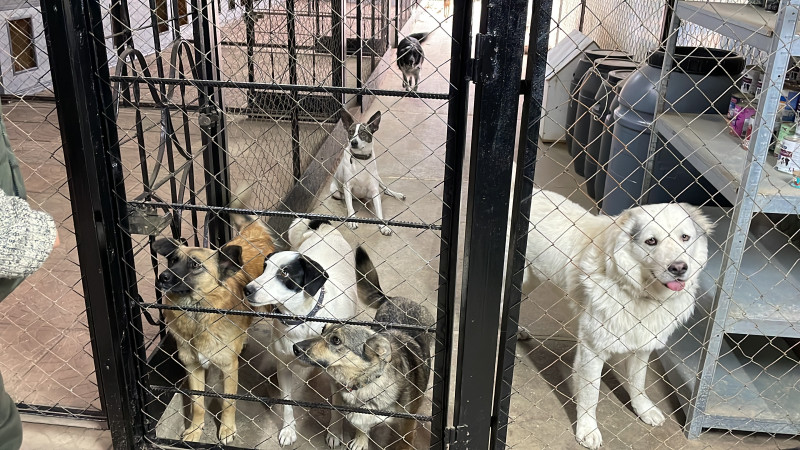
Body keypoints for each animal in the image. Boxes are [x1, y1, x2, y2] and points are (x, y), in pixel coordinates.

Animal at [153, 189, 276, 444]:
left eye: (195, 265)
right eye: (172, 260)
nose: (162, 277)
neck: (197, 315)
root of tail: (252, 237)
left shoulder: (229, 368)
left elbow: (228, 403)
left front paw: (227, 429)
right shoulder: (193, 367)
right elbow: (198, 404)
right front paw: (195, 430)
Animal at [243, 218, 359, 446]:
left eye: (285, 273)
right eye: (264, 268)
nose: (247, 289)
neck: (301, 320)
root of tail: (323, 226)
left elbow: (336, 406)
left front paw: (335, 432)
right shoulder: (284, 368)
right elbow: (287, 404)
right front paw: (288, 430)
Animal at [294, 246, 433, 450]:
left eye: (336, 340)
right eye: (323, 329)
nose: (295, 348)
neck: (364, 384)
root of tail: (393, 298)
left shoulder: (407, 425)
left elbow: (404, 442)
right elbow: (360, 424)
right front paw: (361, 440)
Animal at [520, 189, 714, 450]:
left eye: (685, 237)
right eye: (651, 241)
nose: (679, 268)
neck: (637, 292)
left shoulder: (643, 345)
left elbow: (638, 382)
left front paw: (643, 410)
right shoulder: (592, 349)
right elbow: (590, 395)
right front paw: (587, 429)